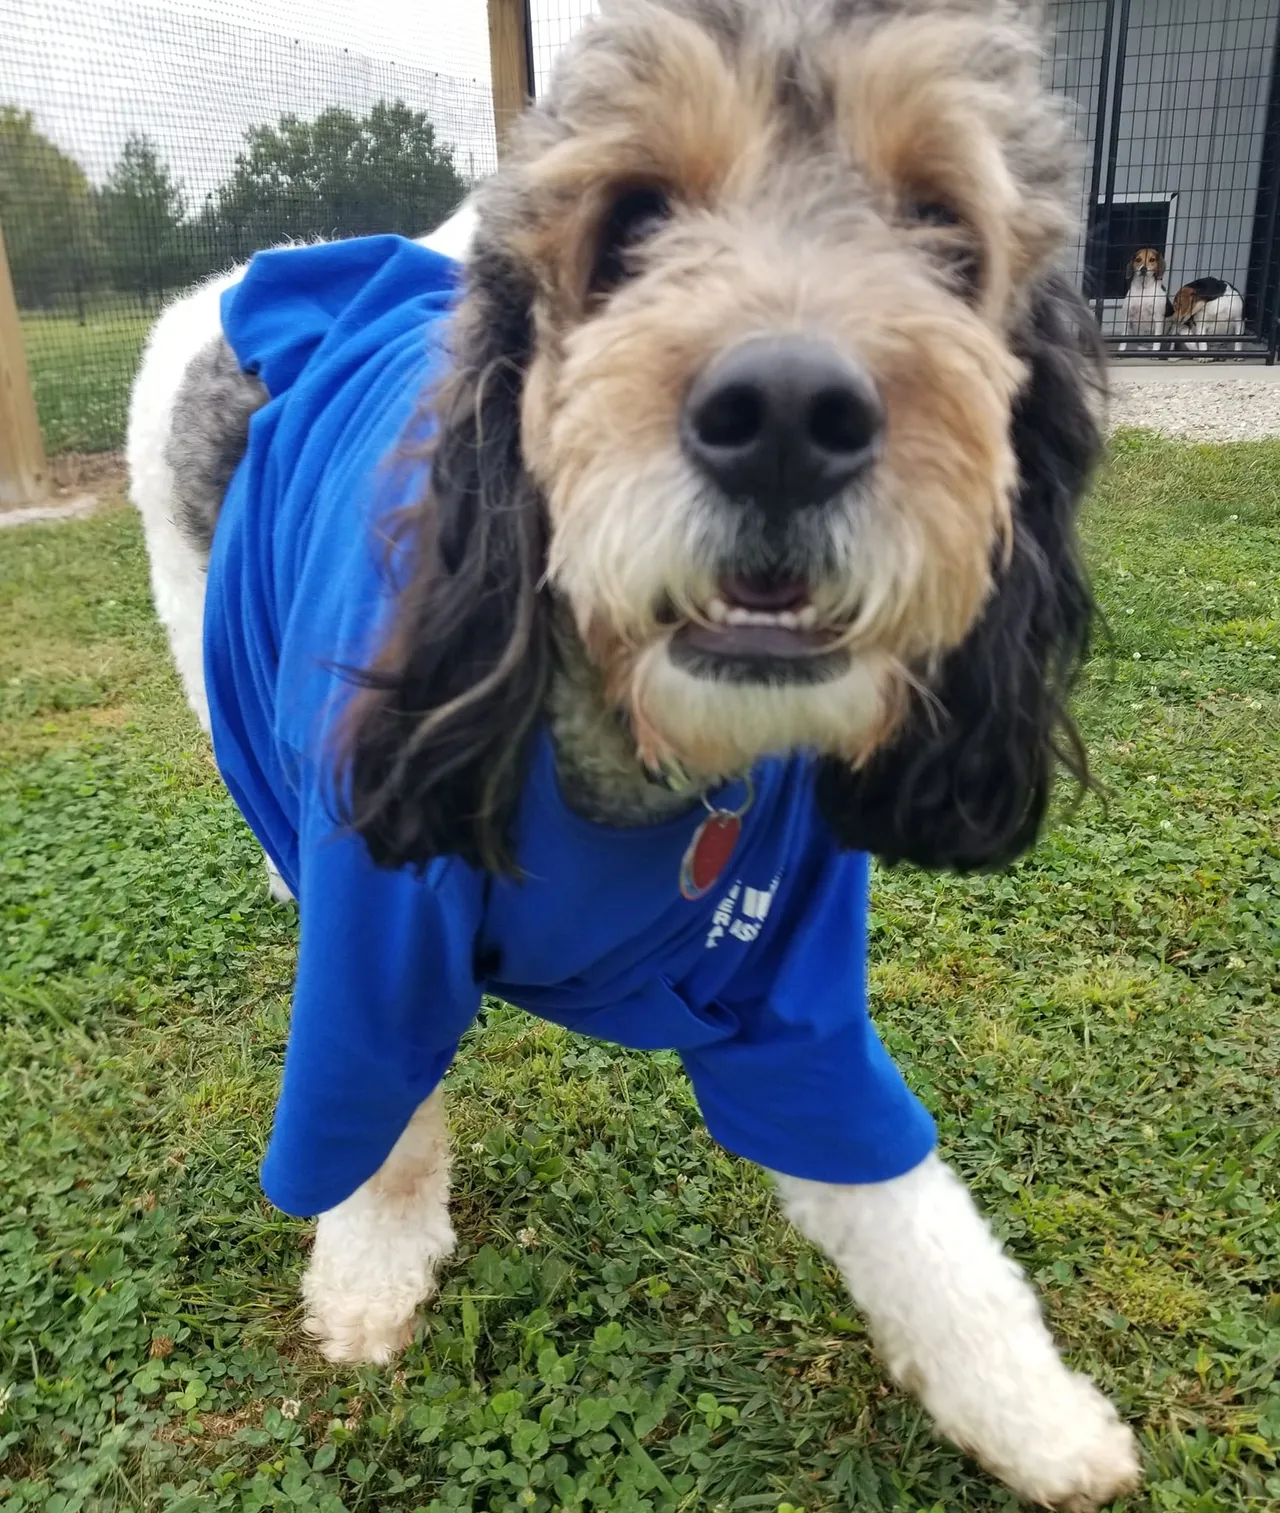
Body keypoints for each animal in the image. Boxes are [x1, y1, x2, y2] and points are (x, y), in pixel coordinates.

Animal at [127, 0, 1143, 1506]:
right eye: (632, 221)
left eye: (944, 231)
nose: (786, 416)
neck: (628, 744)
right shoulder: (373, 942)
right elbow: (375, 1125)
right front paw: (369, 1281)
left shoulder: (800, 999)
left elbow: (914, 1218)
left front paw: (1035, 1416)